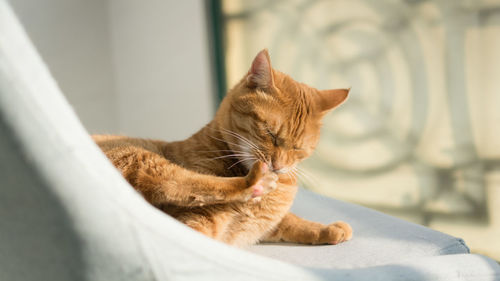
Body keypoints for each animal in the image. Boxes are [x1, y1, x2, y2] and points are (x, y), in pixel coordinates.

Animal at [94, 49, 352, 246]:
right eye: (270, 133)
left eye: (298, 148)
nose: (277, 166)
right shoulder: (197, 220)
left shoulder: (264, 226)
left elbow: (291, 221)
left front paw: (327, 229)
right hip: (143, 160)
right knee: (185, 185)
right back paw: (255, 182)